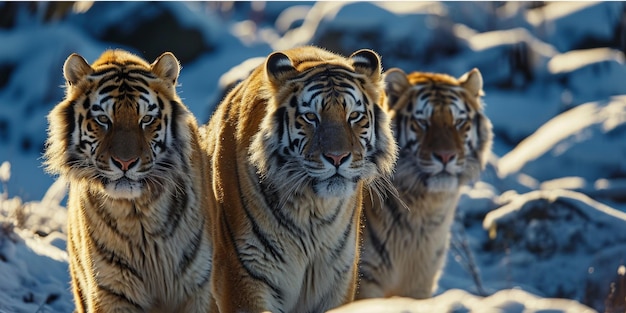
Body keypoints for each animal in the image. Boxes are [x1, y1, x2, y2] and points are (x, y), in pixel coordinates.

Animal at [42, 50, 212, 310]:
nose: (125, 162)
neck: (138, 214)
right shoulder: (110, 291)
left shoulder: (199, 287)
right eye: (103, 119)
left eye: (147, 119)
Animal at [197, 45, 398, 312]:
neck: (313, 210)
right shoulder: (242, 274)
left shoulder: (336, 280)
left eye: (354, 116)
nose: (337, 157)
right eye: (311, 117)